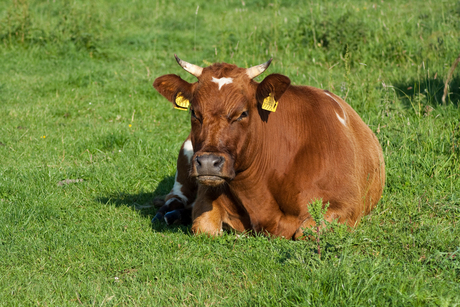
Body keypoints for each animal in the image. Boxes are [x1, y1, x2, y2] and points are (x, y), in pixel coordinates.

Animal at [152, 56, 384, 241]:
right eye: (194, 112)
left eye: (243, 113)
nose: (208, 163)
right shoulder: (206, 192)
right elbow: (204, 226)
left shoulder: (346, 206)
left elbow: (306, 232)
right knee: (174, 198)